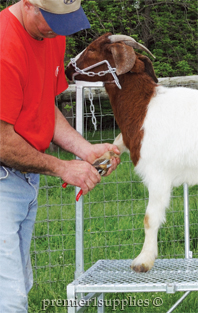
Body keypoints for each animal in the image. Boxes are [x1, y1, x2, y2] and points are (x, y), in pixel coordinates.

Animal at [65, 31, 198, 270]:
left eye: (91, 49)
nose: (67, 69)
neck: (143, 108)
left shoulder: (158, 176)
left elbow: (150, 218)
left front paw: (143, 260)